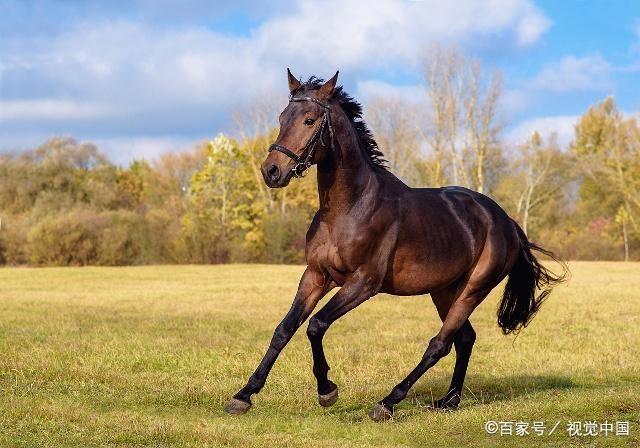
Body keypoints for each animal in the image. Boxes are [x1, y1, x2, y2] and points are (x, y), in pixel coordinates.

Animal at [225, 69, 564, 420]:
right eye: (281, 117)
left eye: (309, 120)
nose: (271, 171)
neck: (347, 208)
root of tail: (506, 221)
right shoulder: (316, 275)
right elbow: (285, 329)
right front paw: (244, 395)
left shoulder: (363, 283)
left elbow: (316, 325)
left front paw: (327, 390)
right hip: (444, 290)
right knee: (465, 338)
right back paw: (448, 401)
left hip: (473, 289)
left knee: (440, 343)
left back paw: (388, 402)